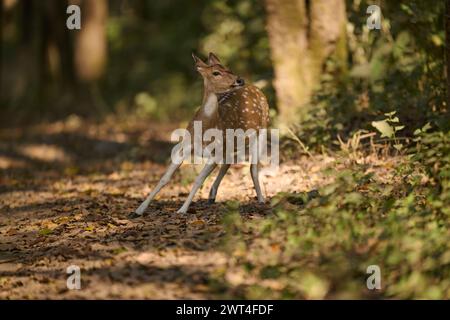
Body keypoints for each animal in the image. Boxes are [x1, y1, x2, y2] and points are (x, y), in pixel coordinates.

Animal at [133, 53, 268, 216]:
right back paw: (211, 196)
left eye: (229, 69)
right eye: (216, 72)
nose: (240, 80)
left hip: (263, 129)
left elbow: (198, 179)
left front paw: (182, 210)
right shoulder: (184, 146)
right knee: (229, 162)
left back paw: (261, 200)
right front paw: (138, 210)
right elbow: (165, 178)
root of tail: (256, 88)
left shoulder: (215, 151)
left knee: (253, 168)